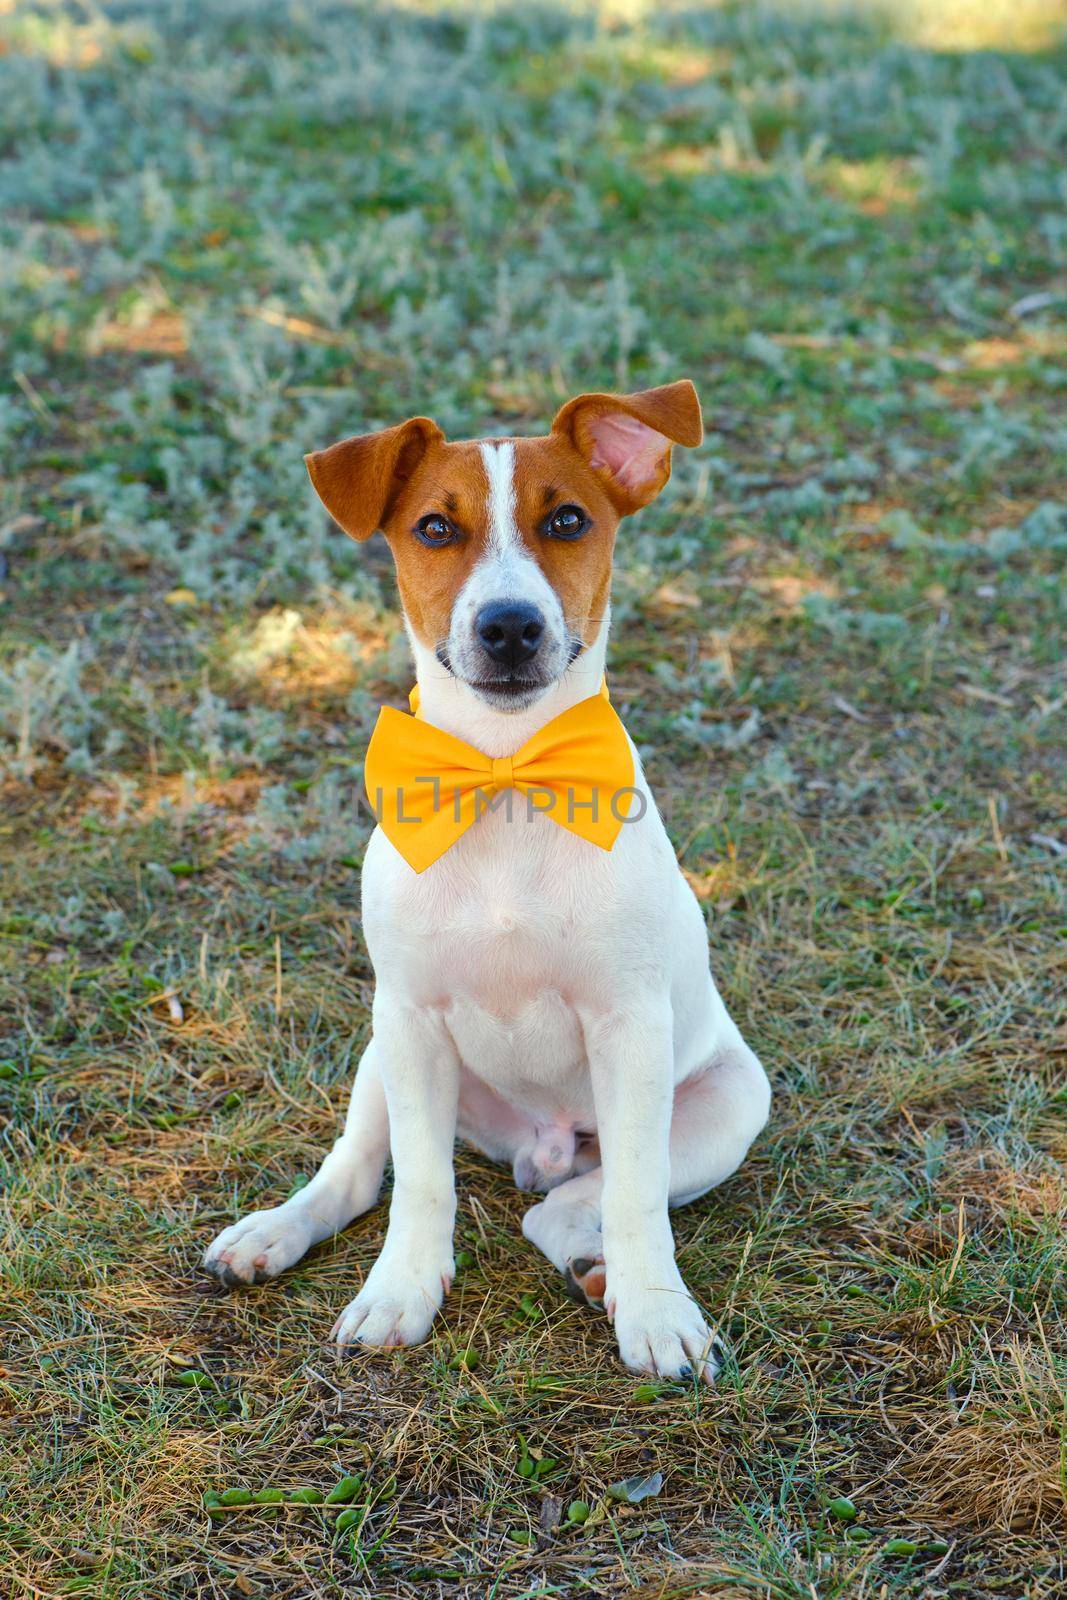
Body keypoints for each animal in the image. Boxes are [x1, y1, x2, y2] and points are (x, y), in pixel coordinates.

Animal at [202, 380, 767, 1382]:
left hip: (728, 1102)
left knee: (574, 1202)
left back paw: (597, 1266)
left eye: (569, 519)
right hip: (380, 1052)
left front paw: (656, 1312)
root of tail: (538, 1146)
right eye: (434, 528)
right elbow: (420, 1183)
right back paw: (272, 1231)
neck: (504, 777)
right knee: (357, 1171)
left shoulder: (630, 1030)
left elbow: (633, 1197)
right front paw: (400, 1291)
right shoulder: (412, 1018)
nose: (509, 627)